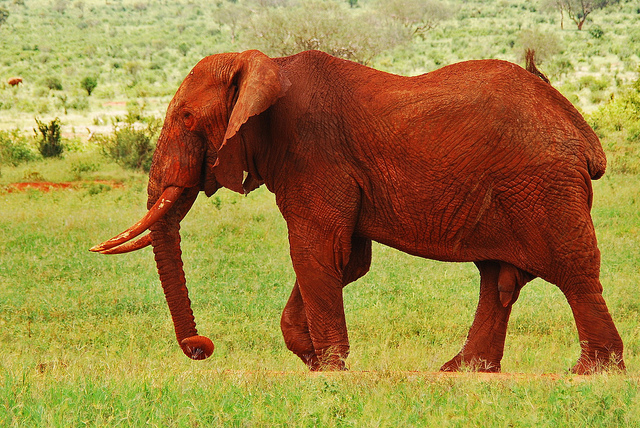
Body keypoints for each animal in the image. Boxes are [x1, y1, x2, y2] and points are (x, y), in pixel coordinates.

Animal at [94, 48, 624, 372]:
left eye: (186, 118)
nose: (200, 348)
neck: (269, 67)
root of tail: (583, 134)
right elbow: (345, 260)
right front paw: (314, 360)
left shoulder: (313, 153)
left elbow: (315, 252)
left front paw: (329, 368)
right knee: (497, 280)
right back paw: (462, 372)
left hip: (543, 186)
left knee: (572, 270)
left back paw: (590, 372)